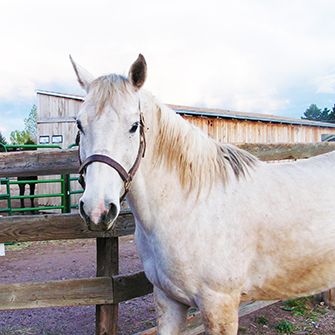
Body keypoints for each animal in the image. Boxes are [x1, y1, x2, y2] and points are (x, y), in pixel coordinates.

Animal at [71, 55, 335, 335]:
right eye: (79, 125)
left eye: (133, 126)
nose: (97, 210)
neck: (190, 208)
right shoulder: (168, 300)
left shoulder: (220, 306)